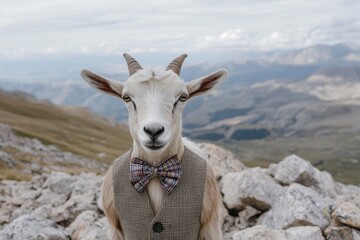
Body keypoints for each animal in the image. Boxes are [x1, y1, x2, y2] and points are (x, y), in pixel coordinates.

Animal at [82, 53, 228, 239]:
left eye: (182, 97)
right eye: (126, 97)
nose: (153, 131)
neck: (155, 170)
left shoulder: (211, 225)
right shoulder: (114, 229)